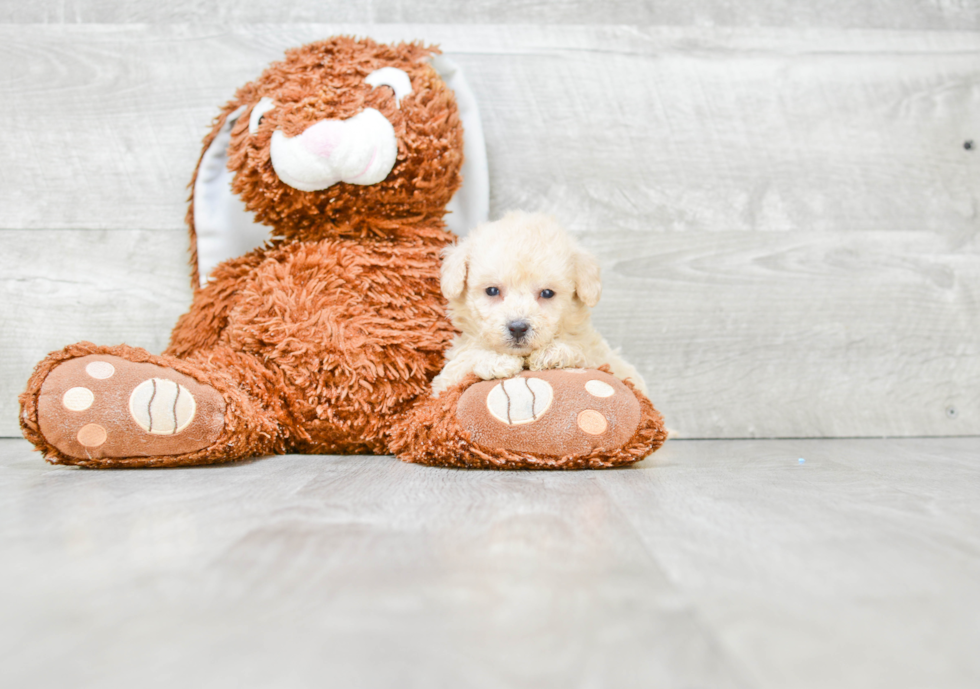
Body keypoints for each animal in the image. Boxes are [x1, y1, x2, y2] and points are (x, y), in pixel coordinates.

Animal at [432, 210, 648, 396]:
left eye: (547, 293)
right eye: (492, 291)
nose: (518, 328)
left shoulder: (607, 360)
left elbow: (585, 351)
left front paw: (553, 353)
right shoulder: (443, 383)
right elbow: (463, 360)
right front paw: (496, 361)